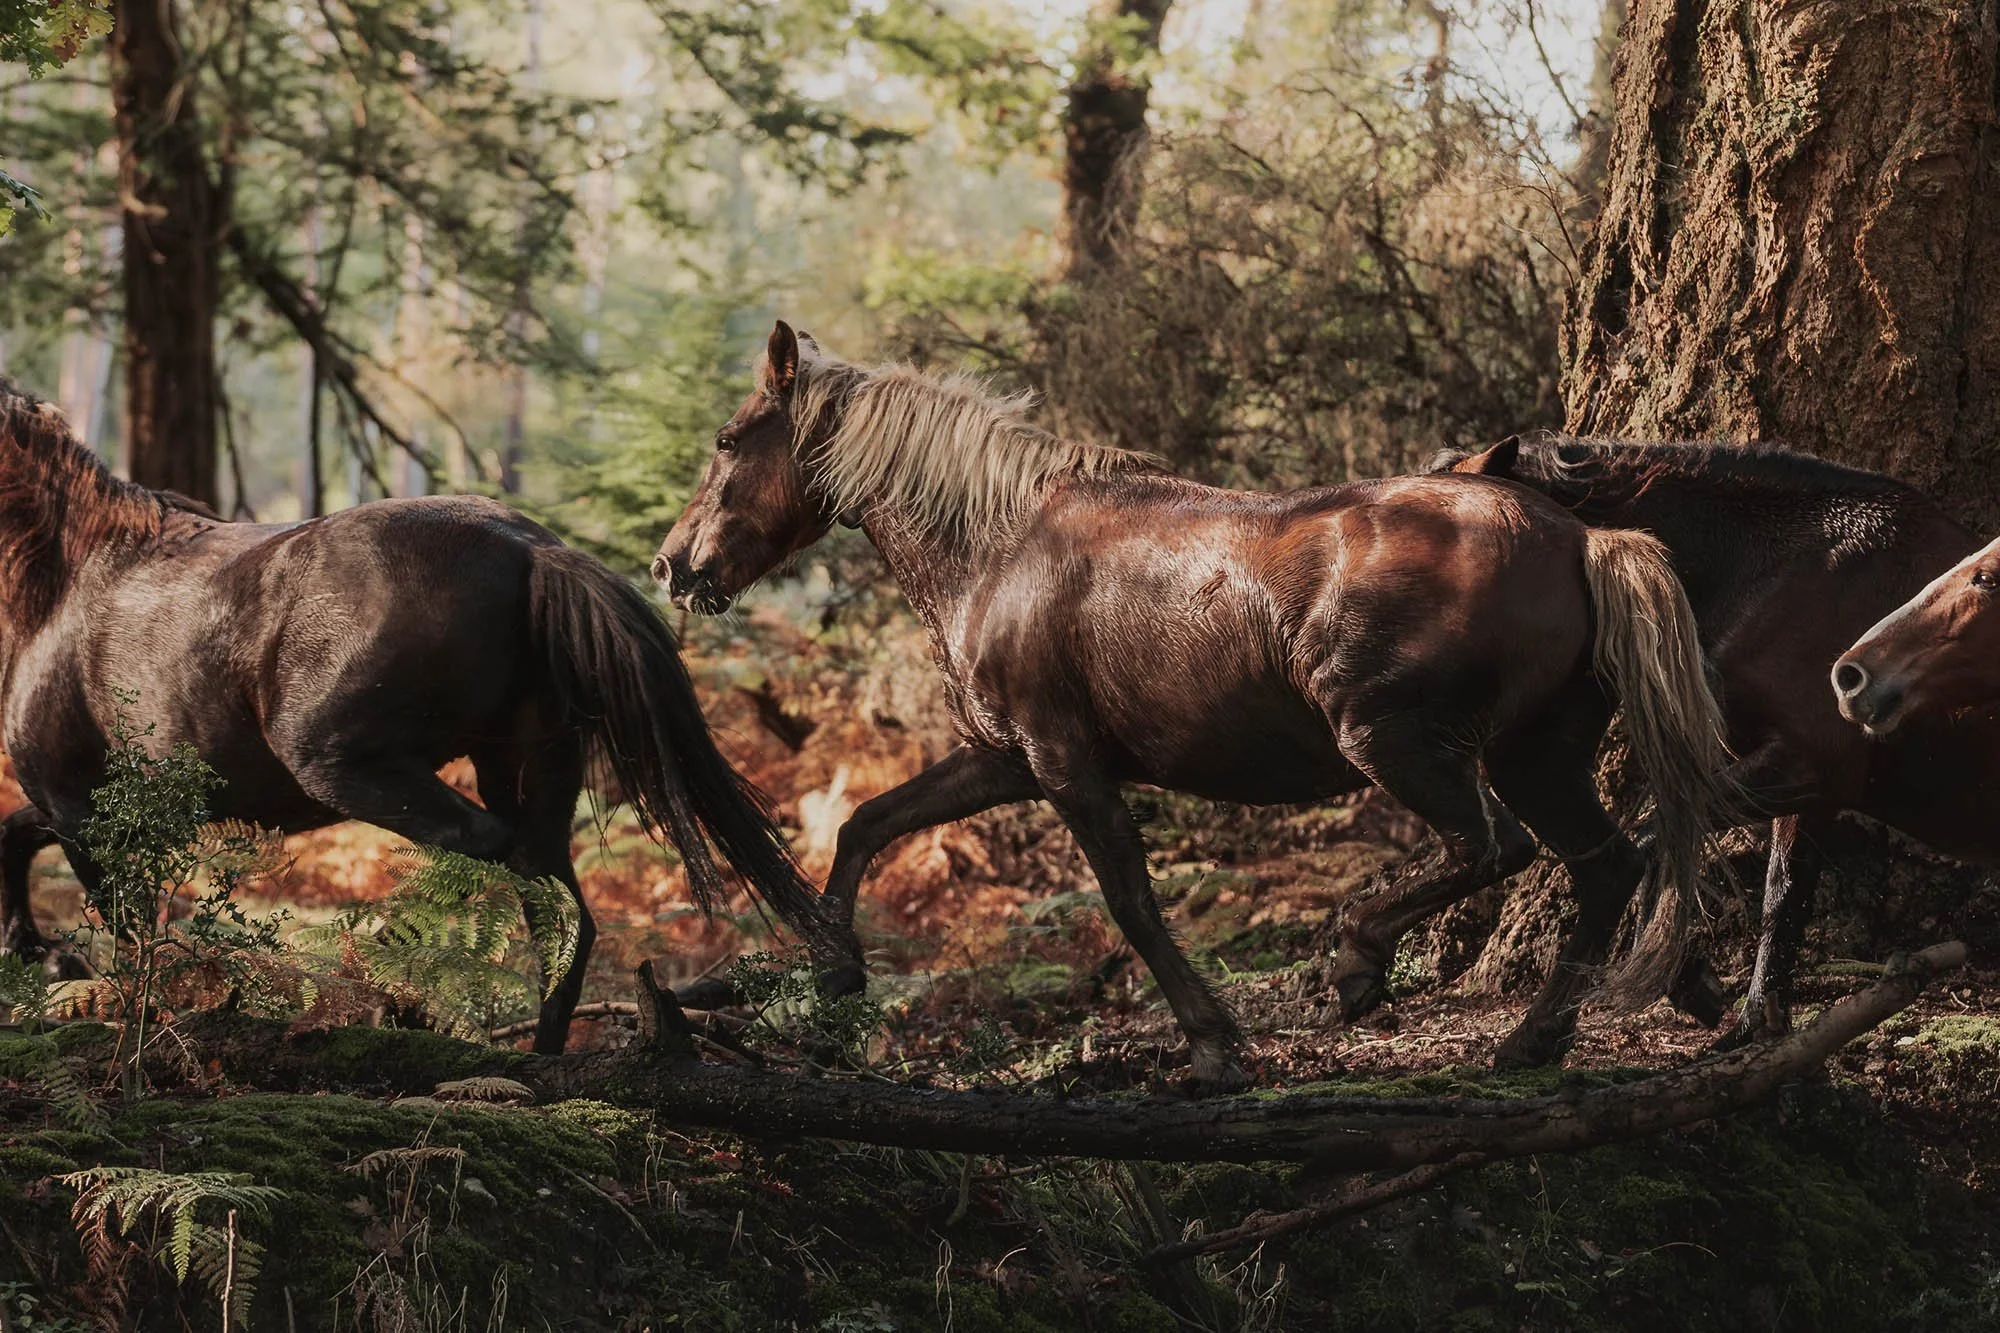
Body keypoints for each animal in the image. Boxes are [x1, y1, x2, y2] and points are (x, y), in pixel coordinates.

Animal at [0, 381, 826, 1053]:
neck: (68, 572)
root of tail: (535, 551)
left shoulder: (82, 810)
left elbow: (129, 928)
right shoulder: (96, 811)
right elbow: (20, 836)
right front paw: (35, 948)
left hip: (351, 767)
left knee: (493, 856)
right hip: (524, 769)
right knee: (559, 910)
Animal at [652, 321, 1734, 1085]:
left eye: (728, 440)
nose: (671, 565)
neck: (998, 546)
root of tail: (1582, 541)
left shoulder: (1062, 765)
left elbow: (1130, 901)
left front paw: (1214, 1046)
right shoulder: (1003, 759)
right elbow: (866, 825)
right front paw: (836, 972)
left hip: (1400, 743)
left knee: (1494, 848)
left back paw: (1358, 962)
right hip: (1533, 754)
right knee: (1604, 865)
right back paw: (1534, 1039)